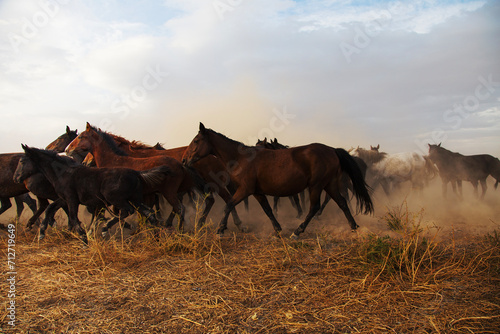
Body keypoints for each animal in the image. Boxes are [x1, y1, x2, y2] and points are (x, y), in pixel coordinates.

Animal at [182, 124, 374, 239]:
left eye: (196, 141)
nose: (184, 160)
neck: (241, 158)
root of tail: (332, 150)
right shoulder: (257, 192)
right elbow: (267, 210)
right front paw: (278, 228)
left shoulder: (245, 189)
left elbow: (228, 204)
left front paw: (221, 229)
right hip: (329, 184)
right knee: (342, 202)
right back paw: (353, 227)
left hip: (317, 186)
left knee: (314, 207)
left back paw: (298, 231)